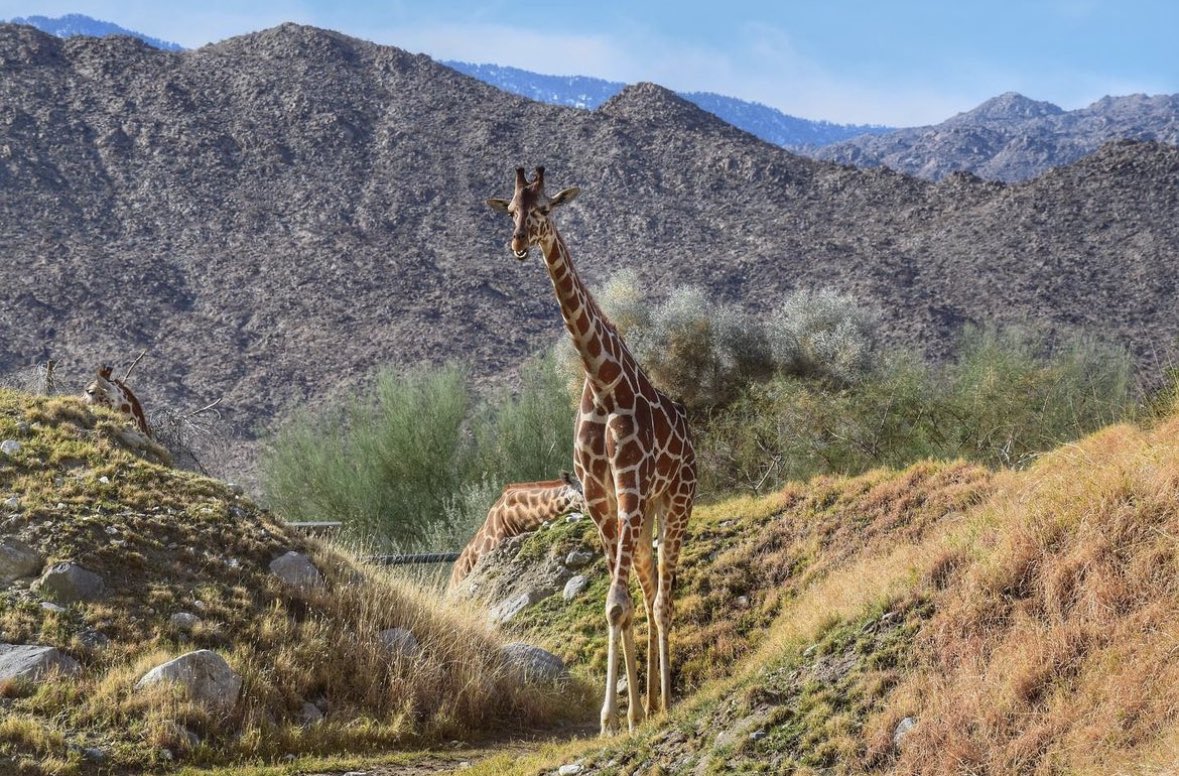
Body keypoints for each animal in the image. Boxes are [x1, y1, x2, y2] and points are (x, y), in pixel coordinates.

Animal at [483, 162, 693, 731]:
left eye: (544, 208)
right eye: (510, 209)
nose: (518, 244)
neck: (602, 381)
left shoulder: (630, 488)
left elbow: (617, 603)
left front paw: (617, 717)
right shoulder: (601, 499)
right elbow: (618, 603)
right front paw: (620, 716)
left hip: (677, 500)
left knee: (663, 597)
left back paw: (667, 701)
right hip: (645, 510)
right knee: (649, 589)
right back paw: (650, 705)